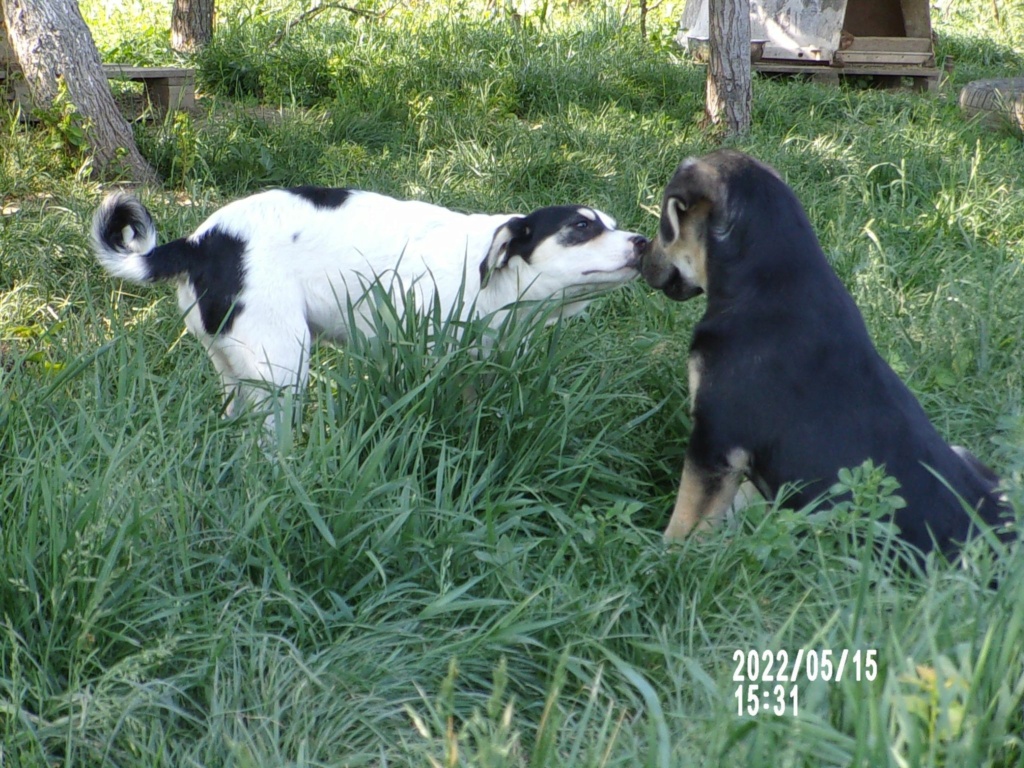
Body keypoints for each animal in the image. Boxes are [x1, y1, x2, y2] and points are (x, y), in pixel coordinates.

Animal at [90, 184, 647, 430]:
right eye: (581, 227)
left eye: (612, 224)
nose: (643, 242)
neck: (490, 277)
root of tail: (200, 242)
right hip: (284, 366)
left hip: (236, 370)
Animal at [643, 150, 1011, 561]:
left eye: (664, 226)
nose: (640, 253)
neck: (767, 278)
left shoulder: (715, 441)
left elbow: (686, 521)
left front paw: (662, 559)